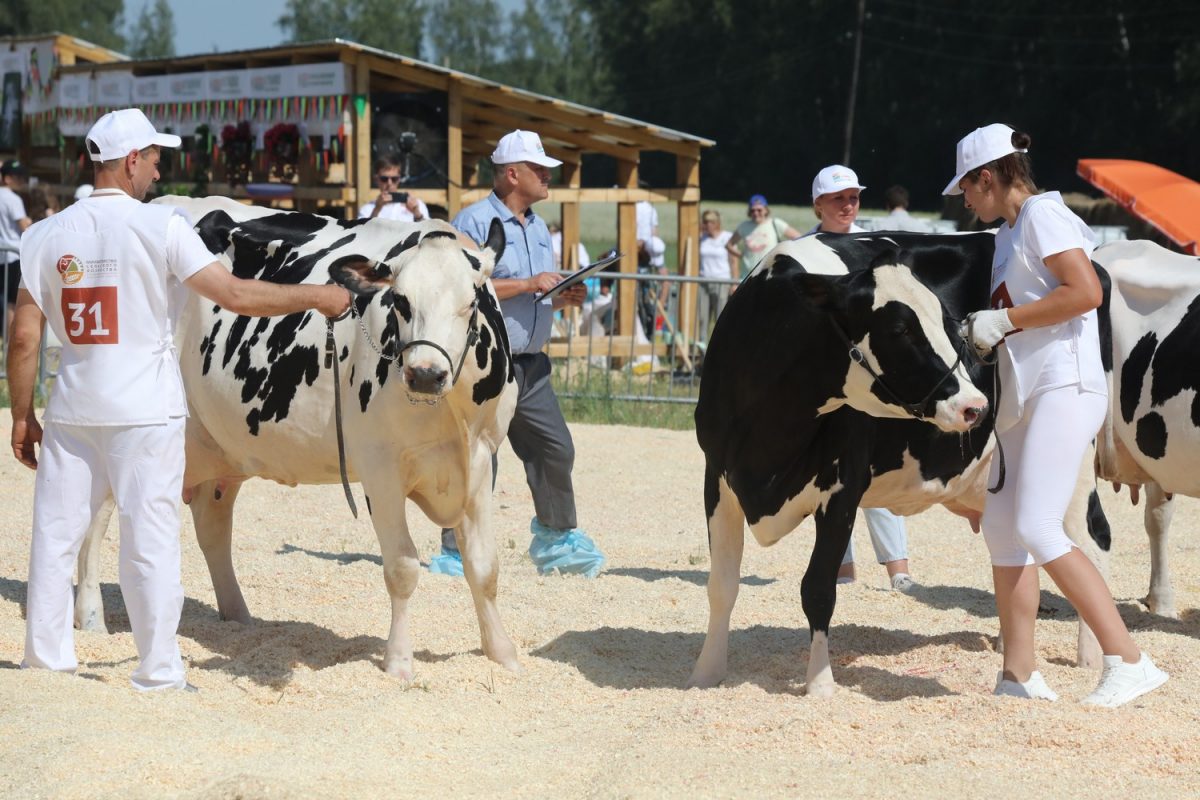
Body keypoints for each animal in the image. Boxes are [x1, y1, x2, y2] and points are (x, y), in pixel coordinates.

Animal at [73, 196, 516, 681]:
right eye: (400, 300)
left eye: (470, 302)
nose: (424, 373)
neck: (449, 412)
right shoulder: (379, 465)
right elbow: (401, 567)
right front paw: (398, 662)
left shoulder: (482, 457)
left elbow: (485, 566)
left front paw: (502, 653)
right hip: (125, 426)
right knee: (95, 520)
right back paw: (90, 616)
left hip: (216, 445)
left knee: (212, 526)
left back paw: (238, 617)